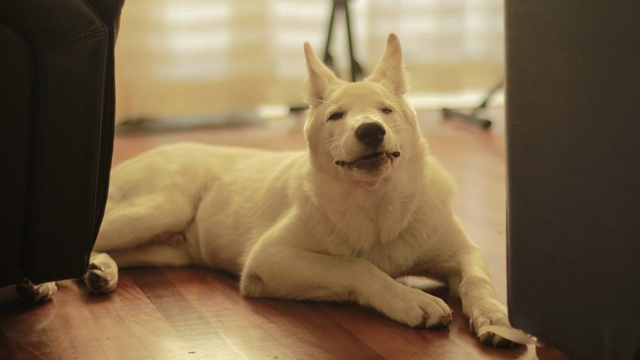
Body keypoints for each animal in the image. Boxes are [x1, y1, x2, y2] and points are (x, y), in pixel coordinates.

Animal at [20, 33, 516, 346]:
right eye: (337, 116)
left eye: (385, 110)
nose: (371, 131)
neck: (375, 202)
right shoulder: (269, 259)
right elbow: (358, 268)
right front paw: (412, 299)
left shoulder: (461, 251)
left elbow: (478, 279)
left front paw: (499, 321)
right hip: (160, 207)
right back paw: (37, 285)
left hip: (166, 247)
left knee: (93, 249)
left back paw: (99, 271)